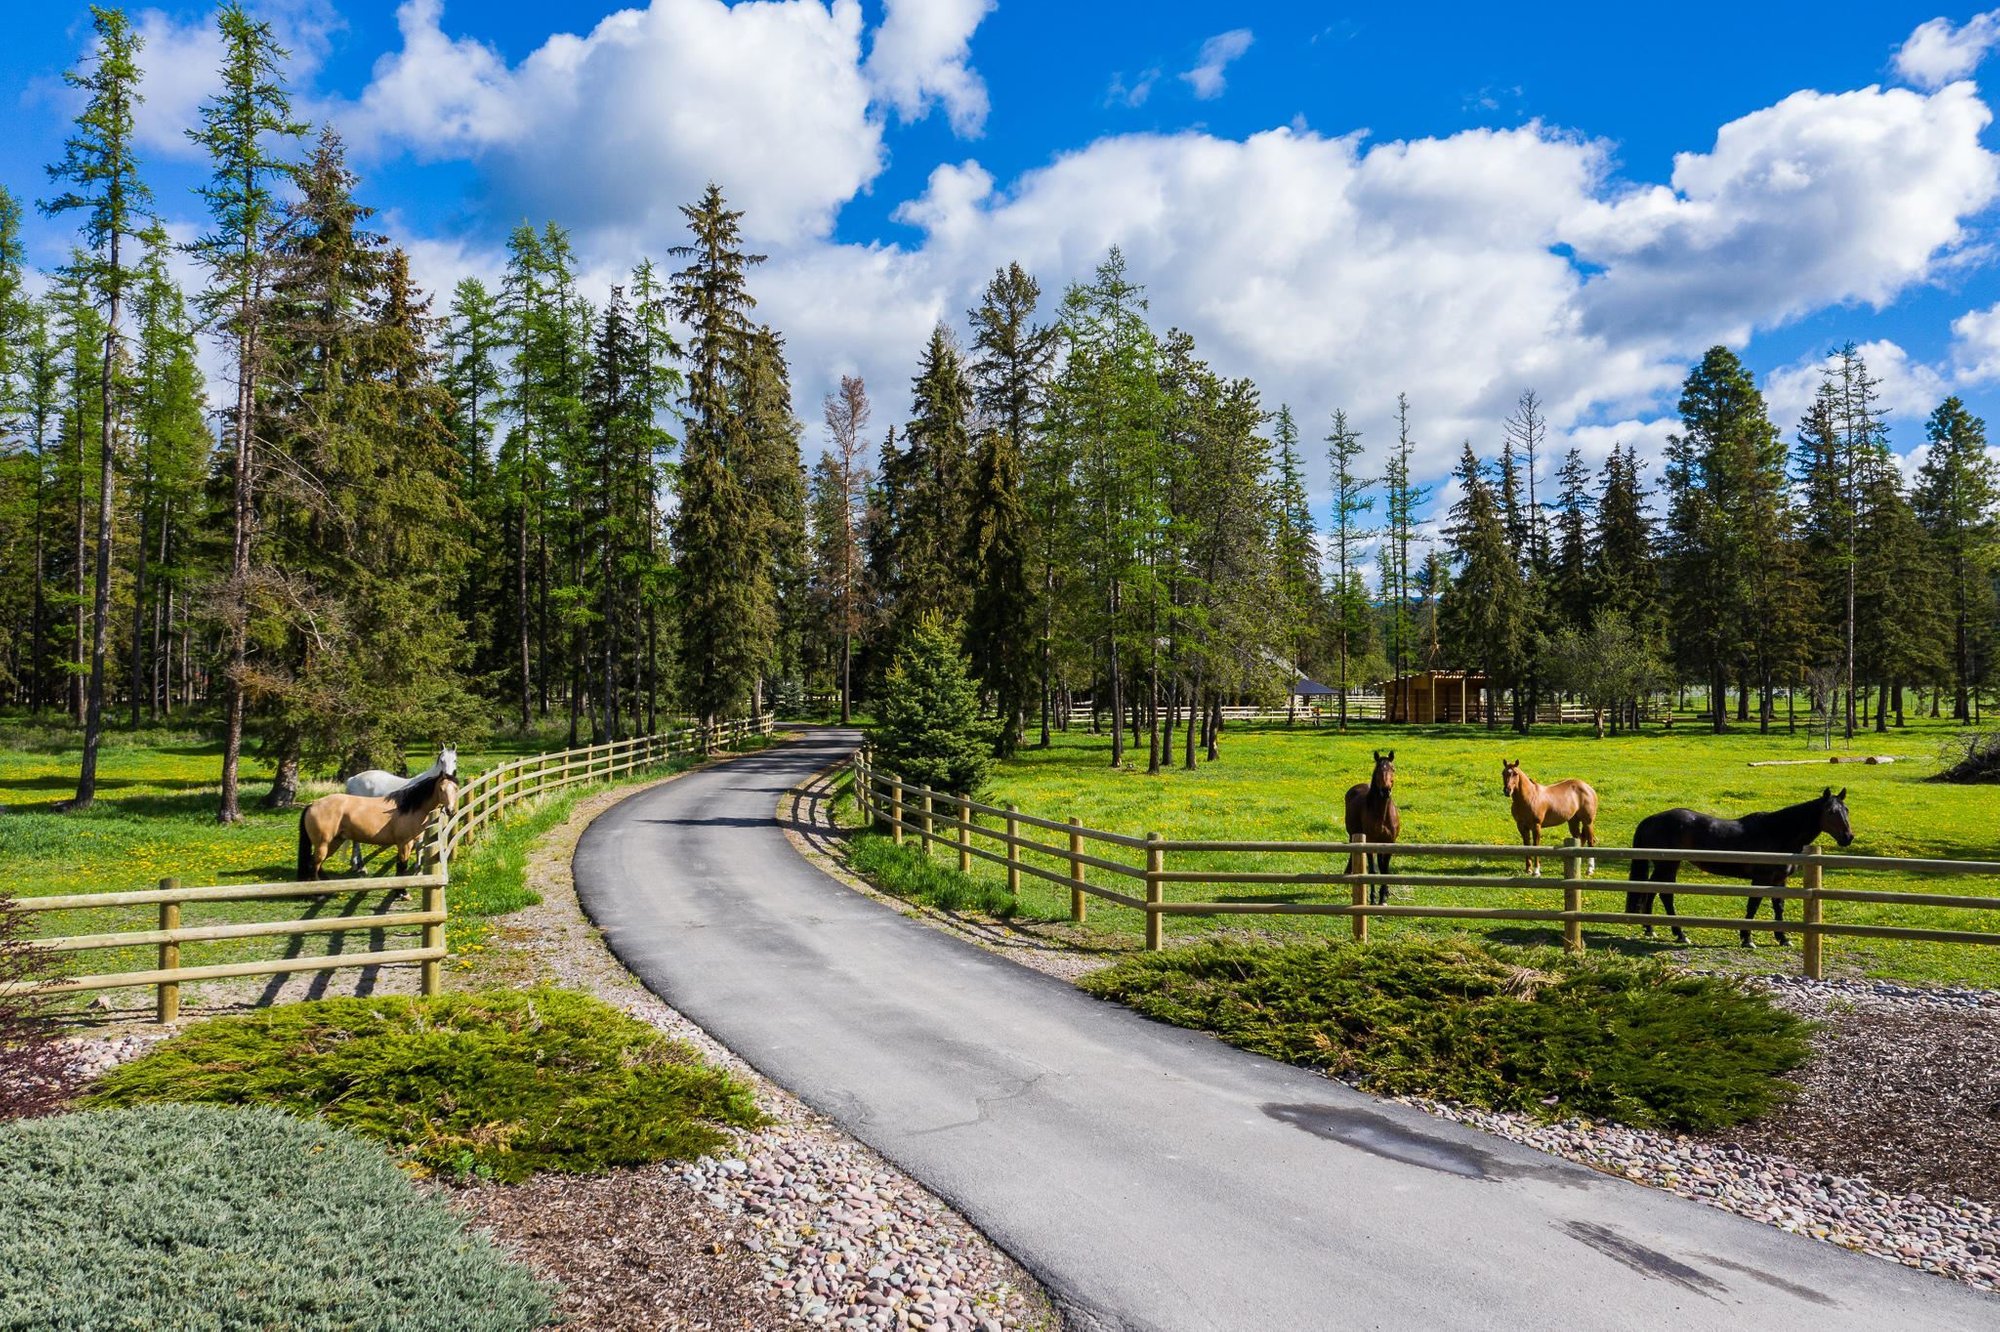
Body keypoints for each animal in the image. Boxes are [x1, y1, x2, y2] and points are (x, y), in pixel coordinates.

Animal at [294, 764, 458, 876]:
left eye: (456, 789)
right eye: (441, 789)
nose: (450, 810)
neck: (409, 807)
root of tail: (312, 804)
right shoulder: (404, 842)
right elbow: (403, 864)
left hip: (334, 841)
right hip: (324, 843)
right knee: (316, 863)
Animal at [1344, 748, 1408, 904]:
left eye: (1393, 769)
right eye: (1377, 770)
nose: (1385, 790)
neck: (1382, 814)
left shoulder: (1390, 842)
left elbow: (1385, 869)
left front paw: (1383, 897)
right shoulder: (1369, 842)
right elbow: (1373, 870)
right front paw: (1373, 898)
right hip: (1353, 834)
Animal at [1624, 788, 1856, 944]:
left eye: (1846, 809)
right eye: (1830, 811)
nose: (1848, 837)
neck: (1778, 833)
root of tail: (1650, 820)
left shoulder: (1779, 880)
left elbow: (1778, 906)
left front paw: (1782, 937)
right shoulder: (1761, 879)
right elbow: (1753, 905)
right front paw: (1747, 938)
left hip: (1664, 866)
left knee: (1651, 890)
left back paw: (1650, 928)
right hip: (1668, 865)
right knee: (1665, 894)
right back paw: (1680, 933)